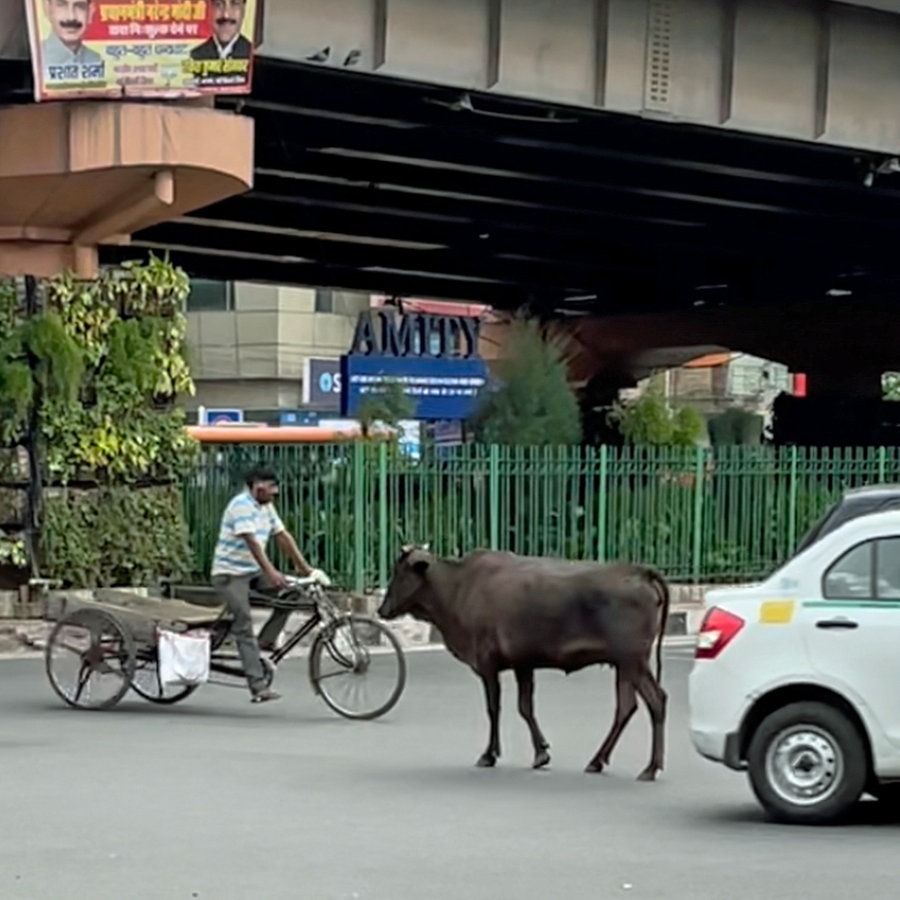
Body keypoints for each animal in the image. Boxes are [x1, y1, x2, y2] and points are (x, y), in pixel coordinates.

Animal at [378, 540, 668, 780]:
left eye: (399, 572)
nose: (381, 609)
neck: (458, 588)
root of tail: (641, 571)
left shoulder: (487, 662)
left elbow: (494, 708)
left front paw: (489, 754)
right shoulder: (523, 663)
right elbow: (525, 707)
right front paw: (541, 753)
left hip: (632, 660)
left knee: (650, 701)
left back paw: (648, 767)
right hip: (628, 665)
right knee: (632, 705)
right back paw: (604, 761)